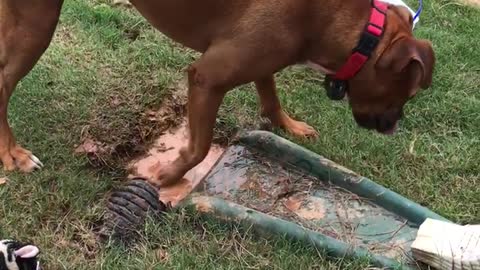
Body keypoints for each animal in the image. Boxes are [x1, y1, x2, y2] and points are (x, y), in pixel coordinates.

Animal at [0, 0, 436, 188]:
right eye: (408, 93)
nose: (393, 127)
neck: (362, 30)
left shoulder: (261, 58)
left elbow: (270, 94)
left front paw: (289, 126)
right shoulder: (206, 79)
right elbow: (198, 147)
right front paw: (169, 175)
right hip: (37, 22)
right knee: (3, 84)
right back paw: (13, 155)